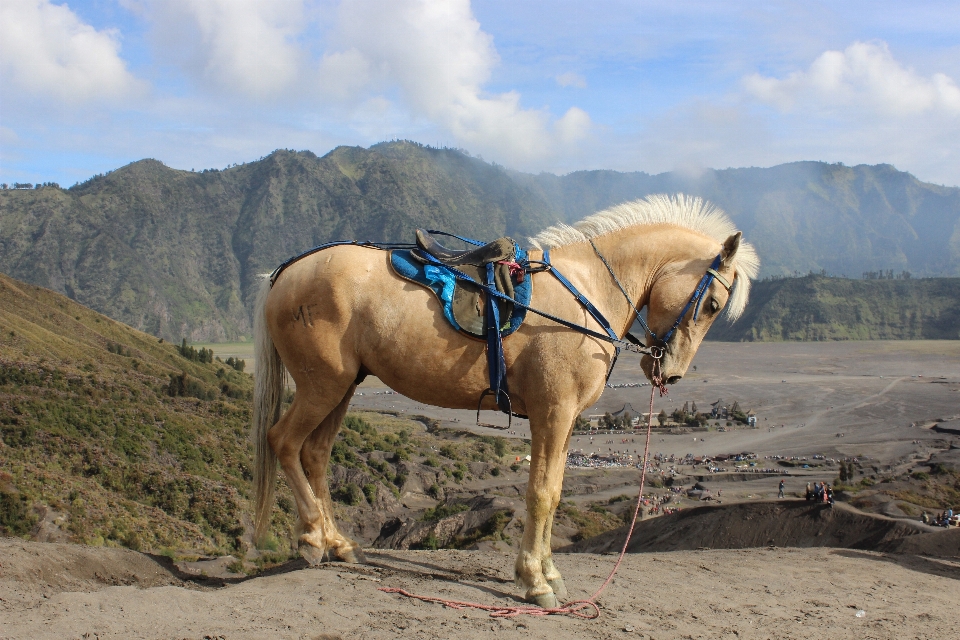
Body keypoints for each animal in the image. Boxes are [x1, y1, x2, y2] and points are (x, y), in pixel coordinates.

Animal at [253, 192, 756, 608]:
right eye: (712, 304)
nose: (669, 371)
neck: (587, 291)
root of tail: (286, 273)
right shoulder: (552, 414)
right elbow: (541, 493)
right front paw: (534, 581)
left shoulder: (567, 420)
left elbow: (555, 491)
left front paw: (549, 574)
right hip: (322, 387)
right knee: (284, 443)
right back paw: (312, 539)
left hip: (342, 387)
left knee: (315, 454)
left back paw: (338, 544)